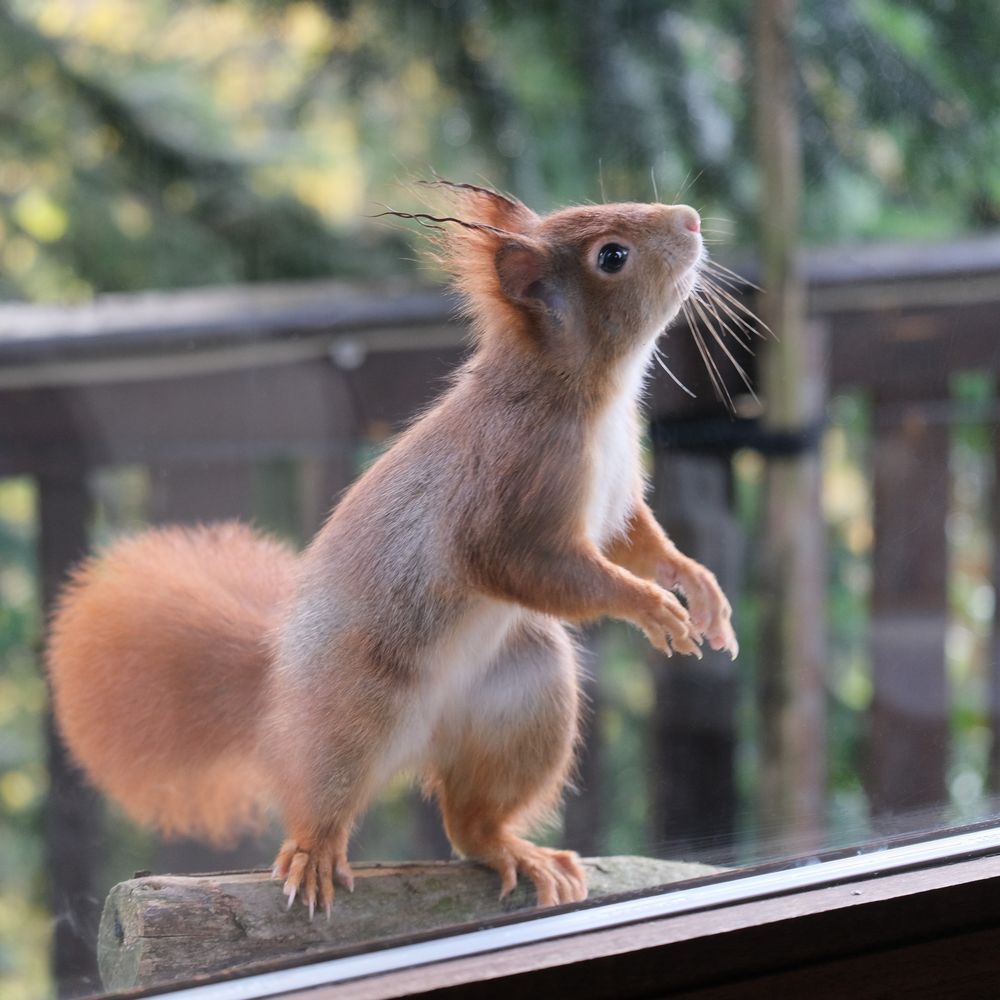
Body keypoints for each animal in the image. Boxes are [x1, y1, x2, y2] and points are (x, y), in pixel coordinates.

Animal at [47, 184, 740, 916]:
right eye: (612, 257)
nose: (691, 220)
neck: (590, 396)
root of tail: (275, 691)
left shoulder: (615, 497)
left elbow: (638, 540)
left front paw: (698, 587)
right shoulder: (510, 489)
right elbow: (523, 564)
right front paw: (652, 607)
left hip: (528, 698)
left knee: (468, 820)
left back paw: (511, 848)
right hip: (354, 709)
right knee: (321, 789)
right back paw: (315, 851)